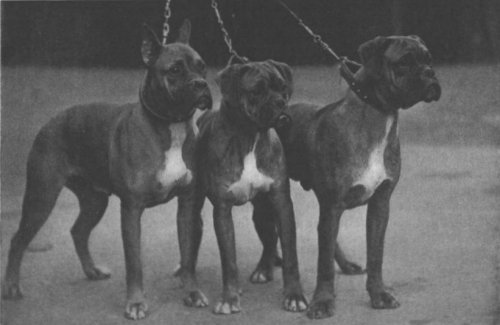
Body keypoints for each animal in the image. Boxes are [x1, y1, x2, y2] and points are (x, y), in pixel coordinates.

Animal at [0, 19, 211, 318]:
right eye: (175, 70)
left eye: (202, 67)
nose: (201, 84)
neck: (171, 126)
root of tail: (51, 121)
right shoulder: (132, 210)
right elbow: (134, 264)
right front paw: (135, 303)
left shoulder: (188, 205)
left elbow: (188, 255)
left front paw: (192, 293)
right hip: (41, 198)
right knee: (18, 240)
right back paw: (11, 286)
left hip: (94, 201)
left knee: (78, 231)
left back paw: (92, 270)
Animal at [189, 59, 308, 312]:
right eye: (257, 91)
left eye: (283, 87)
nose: (280, 102)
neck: (251, 136)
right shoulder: (222, 210)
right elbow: (229, 259)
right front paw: (229, 298)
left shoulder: (282, 203)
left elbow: (291, 254)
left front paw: (294, 295)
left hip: (263, 211)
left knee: (270, 239)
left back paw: (264, 269)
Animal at [252, 34, 440, 316]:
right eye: (404, 62)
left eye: (428, 59)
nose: (430, 72)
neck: (378, 116)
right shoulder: (332, 206)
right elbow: (323, 265)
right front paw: (323, 301)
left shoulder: (378, 206)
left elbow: (375, 255)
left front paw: (379, 294)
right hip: (270, 199)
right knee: (270, 233)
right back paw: (264, 268)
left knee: (327, 238)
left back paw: (346, 264)